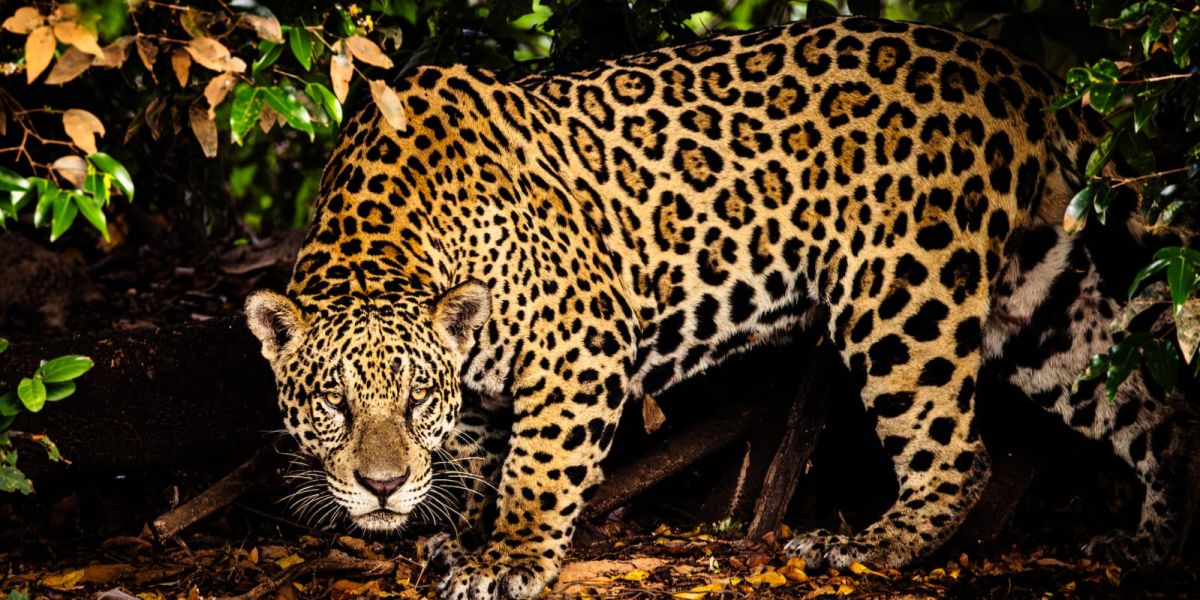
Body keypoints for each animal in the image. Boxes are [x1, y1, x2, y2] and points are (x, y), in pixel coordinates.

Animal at [244, 16, 1193, 599]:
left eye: (412, 401)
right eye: (334, 404)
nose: (380, 486)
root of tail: (1020, 72)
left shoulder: (582, 340)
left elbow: (537, 467)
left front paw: (509, 557)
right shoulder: (477, 382)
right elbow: (477, 461)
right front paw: (456, 535)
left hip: (902, 292)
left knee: (959, 454)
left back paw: (865, 547)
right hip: (1038, 298)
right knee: (1150, 404)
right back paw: (1152, 547)